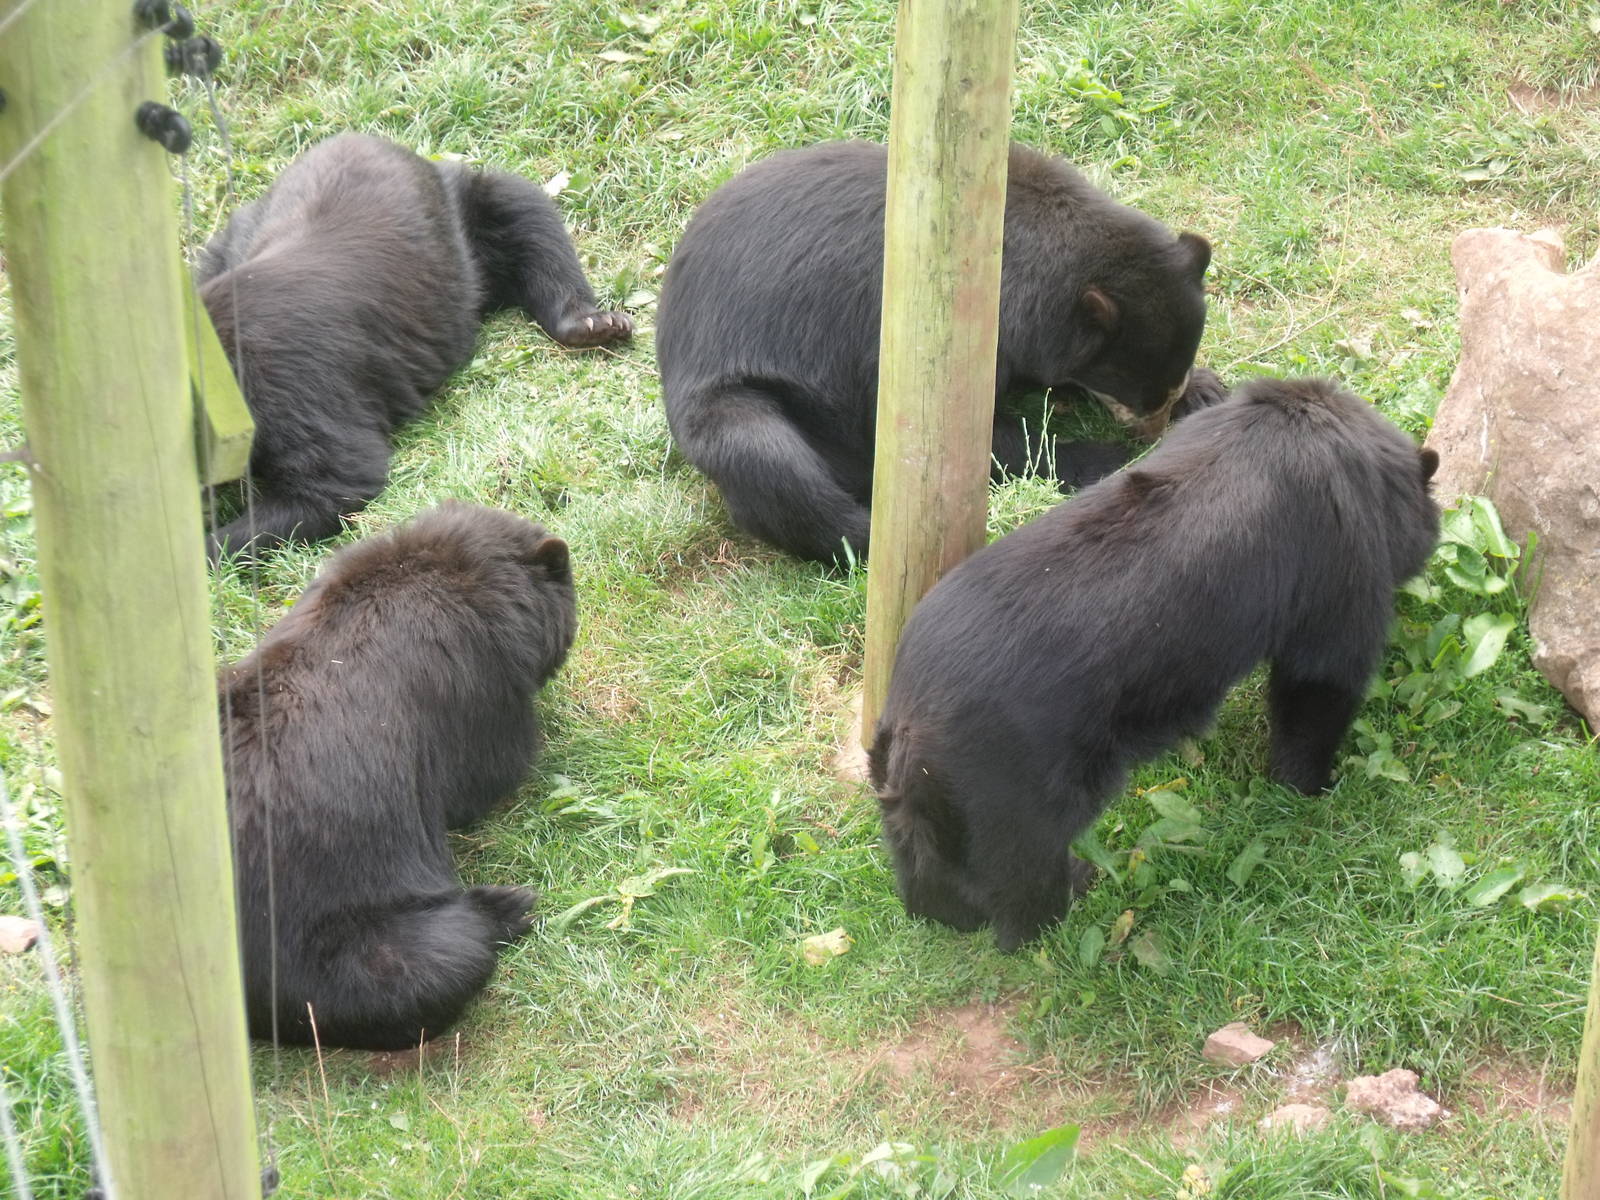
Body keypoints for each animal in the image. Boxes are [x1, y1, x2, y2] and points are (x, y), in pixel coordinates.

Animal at [199, 133, 631, 561]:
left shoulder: (285, 388)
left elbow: (335, 480)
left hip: (470, 211)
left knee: (525, 211)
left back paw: (594, 324)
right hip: (231, 239)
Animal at [654, 140, 1212, 564]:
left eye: (1164, 391)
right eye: (1136, 396)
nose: (1150, 430)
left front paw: (1205, 390)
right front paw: (1100, 456)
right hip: (732, 397)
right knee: (768, 462)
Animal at [868, 377, 1440, 951]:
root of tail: (911, 715)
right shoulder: (1339, 556)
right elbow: (1321, 681)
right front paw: (1309, 785)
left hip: (919, 787)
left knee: (918, 850)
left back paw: (944, 914)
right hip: (1018, 780)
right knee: (1021, 866)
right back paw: (1058, 905)